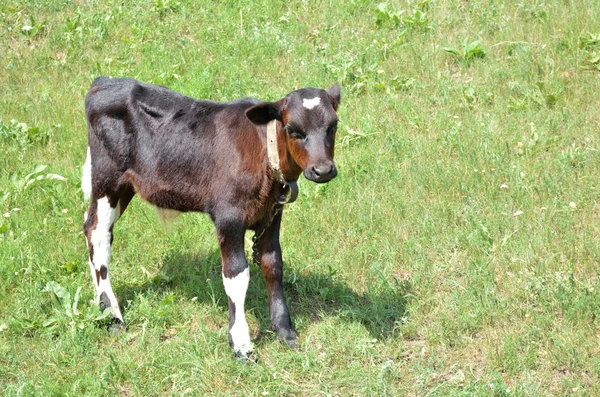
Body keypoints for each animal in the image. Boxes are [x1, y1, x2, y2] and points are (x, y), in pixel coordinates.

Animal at [81, 76, 340, 356]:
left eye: (334, 125)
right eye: (292, 129)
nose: (323, 170)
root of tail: (106, 81)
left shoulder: (272, 214)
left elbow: (273, 264)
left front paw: (284, 330)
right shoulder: (228, 216)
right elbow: (236, 274)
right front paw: (241, 343)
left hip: (123, 185)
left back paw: (101, 307)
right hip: (108, 179)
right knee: (98, 234)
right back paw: (112, 315)